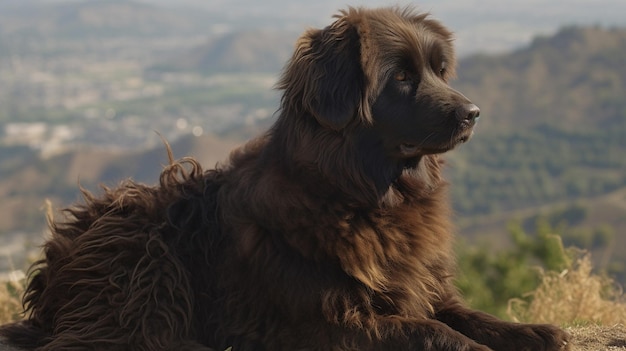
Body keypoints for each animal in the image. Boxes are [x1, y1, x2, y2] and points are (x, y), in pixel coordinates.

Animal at [0, 5, 564, 351]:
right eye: (402, 77)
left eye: (438, 71)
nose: (473, 113)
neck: (363, 195)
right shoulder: (320, 322)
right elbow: (427, 330)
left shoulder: (423, 286)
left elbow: (466, 315)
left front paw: (533, 330)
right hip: (142, 244)